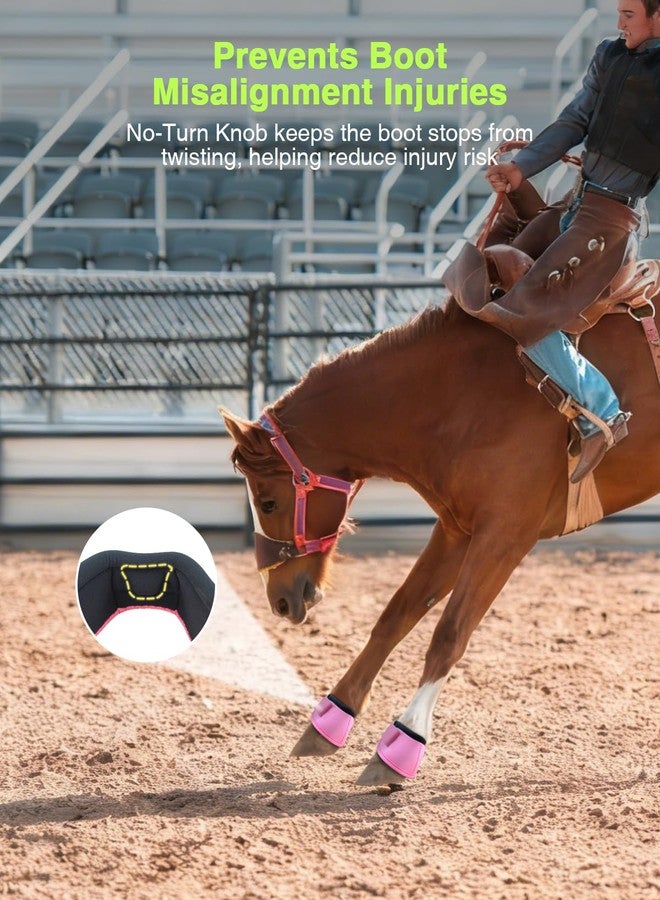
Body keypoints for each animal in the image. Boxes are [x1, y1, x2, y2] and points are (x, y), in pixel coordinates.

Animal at [222, 283, 660, 787]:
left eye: (268, 502)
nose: (278, 599)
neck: (462, 395)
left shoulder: (504, 535)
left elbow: (449, 634)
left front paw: (402, 744)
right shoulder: (456, 531)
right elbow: (395, 616)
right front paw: (329, 720)